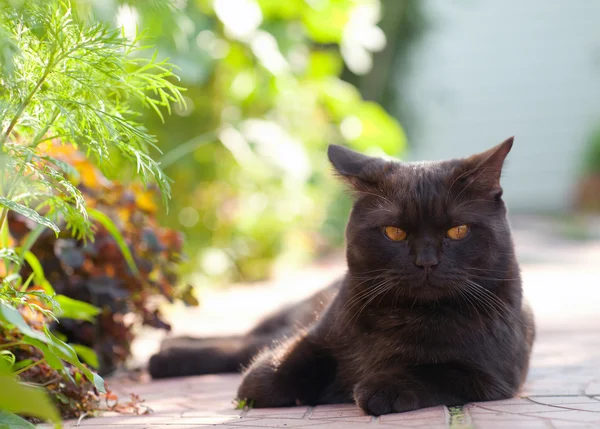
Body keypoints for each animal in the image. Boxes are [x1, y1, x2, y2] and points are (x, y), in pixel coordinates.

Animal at [150, 140, 536, 414]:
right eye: (394, 232)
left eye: (458, 231)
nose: (426, 262)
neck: (404, 317)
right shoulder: (318, 335)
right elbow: (285, 362)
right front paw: (262, 382)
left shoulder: (489, 376)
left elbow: (434, 370)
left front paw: (380, 388)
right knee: (251, 342)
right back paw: (167, 354)